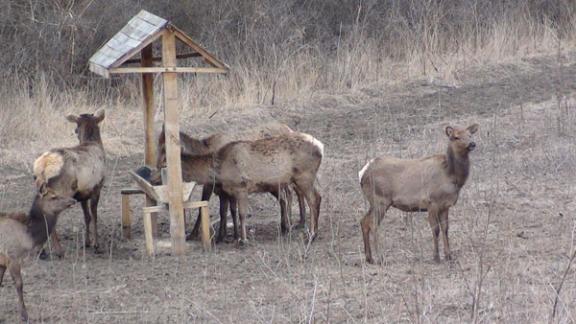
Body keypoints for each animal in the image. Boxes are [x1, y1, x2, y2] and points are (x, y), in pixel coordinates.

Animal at [0, 190, 75, 322]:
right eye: (53, 197)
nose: (73, 200)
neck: (29, 237)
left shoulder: (3, 262)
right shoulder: (13, 258)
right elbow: (19, 284)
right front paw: (25, 315)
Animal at [32, 110, 106, 254]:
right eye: (76, 128)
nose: (75, 131)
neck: (93, 143)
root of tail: (44, 166)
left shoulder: (83, 193)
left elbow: (87, 216)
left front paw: (87, 242)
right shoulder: (97, 187)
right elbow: (94, 216)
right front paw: (96, 244)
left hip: (41, 188)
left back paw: (41, 250)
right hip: (61, 191)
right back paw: (58, 250)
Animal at [360, 124, 476, 264]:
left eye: (470, 134)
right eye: (456, 137)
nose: (472, 144)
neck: (451, 176)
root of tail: (362, 173)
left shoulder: (445, 206)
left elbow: (445, 228)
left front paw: (449, 256)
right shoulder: (432, 202)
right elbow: (435, 229)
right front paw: (436, 257)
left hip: (375, 201)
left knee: (364, 221)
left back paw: (369, 258)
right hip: (380, 199)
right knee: (373, 224)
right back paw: (380, 257)